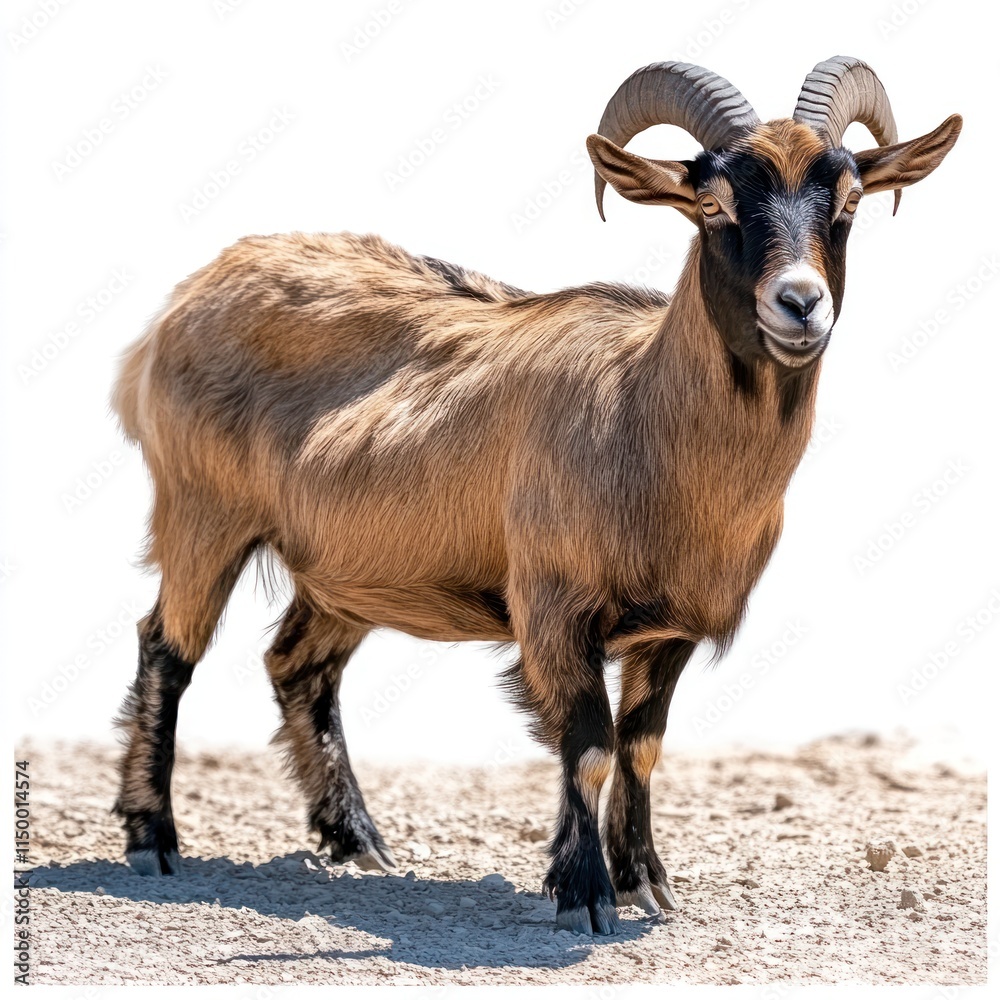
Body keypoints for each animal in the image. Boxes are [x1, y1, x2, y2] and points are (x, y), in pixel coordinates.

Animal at [111, 57, 960, 935]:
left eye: (850, 201)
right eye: (712, 203)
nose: (799, 303)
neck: (637, 420)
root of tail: (180, 306)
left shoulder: (671, 629)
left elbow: (640, 746)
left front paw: (644, 881)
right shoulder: (554, 606)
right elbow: (587, 746)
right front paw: (582, 893)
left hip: (347, 570)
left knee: (297, 665)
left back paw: (358, 843)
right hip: (202, 511)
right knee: (166, 648)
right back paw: (153, 839)